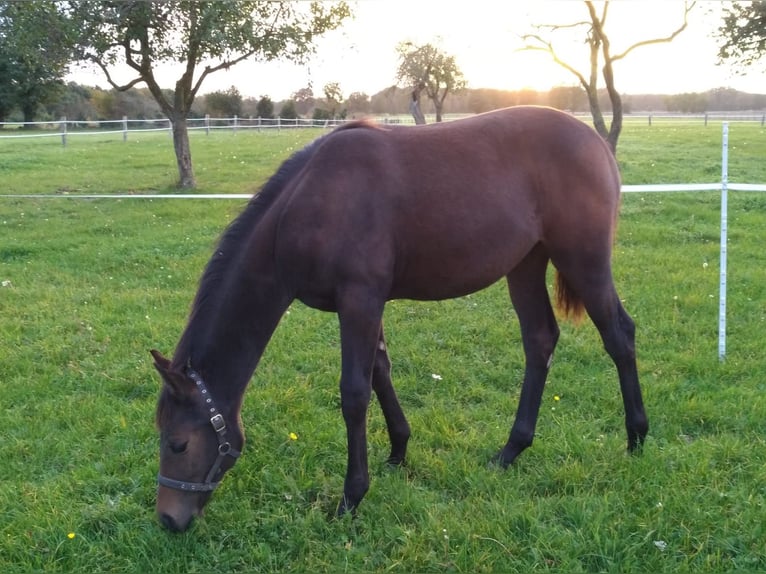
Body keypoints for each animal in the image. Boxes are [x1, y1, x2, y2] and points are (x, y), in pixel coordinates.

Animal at [153, 107, 652, 536]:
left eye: (178, 443)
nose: (168, 519)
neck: (309, 203)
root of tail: (596, 142)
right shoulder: (366, 303)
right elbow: (380, 371)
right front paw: (397, 452)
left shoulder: (360, 299)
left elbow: (355, 393)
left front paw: (352, 497)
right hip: (526, 264)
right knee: (540, 339)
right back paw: (511, 450)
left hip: (584, 261)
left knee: (619, 335)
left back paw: (637, 439)